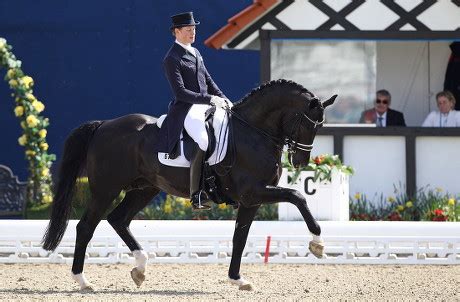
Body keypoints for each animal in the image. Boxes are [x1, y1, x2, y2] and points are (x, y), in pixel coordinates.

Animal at [41, 79, 336, 292]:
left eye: (320, 127)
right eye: (306, 124)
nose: (300, 161)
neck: (252, 133)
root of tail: (103, 125)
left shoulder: (251, 200)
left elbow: (240, 238)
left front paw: (238, 279)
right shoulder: (254, 191)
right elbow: (298, 196)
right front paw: (318, 244)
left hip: (145, 188)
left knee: (118, 220)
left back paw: (140, 269)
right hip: (106, 190)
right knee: (86, 227)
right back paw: (83, 281)